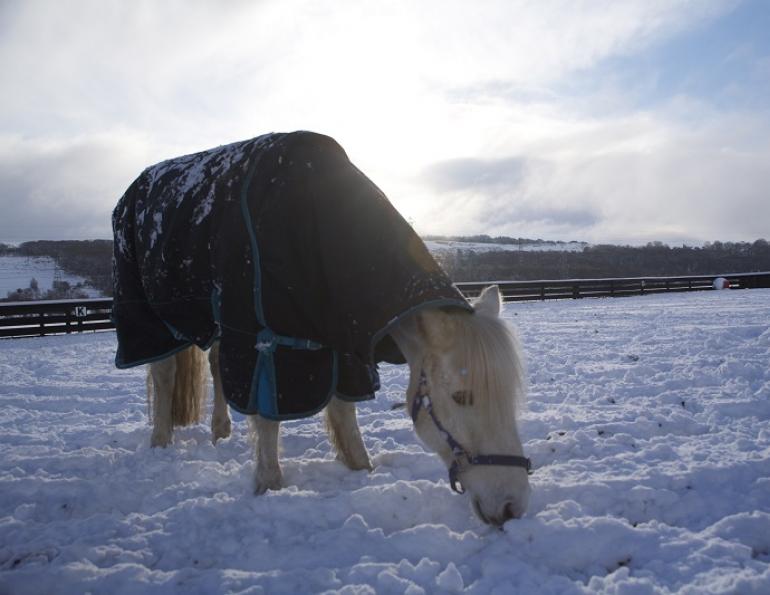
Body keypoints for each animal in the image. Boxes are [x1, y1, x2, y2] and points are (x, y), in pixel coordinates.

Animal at [113, 132, 530, 525]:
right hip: (151, 316)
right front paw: (268, 484)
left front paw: (362, 469)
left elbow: (344, 412)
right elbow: (267, 414)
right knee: (164, 372)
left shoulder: (342, 347)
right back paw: (161, 440)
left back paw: (220, 431)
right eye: (462, 396)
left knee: (215, 367)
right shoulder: (262, 340)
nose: (512, 506)